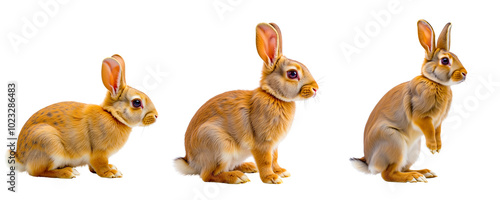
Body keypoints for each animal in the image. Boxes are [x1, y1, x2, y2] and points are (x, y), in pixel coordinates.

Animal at [9, 54, 158, 178]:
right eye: (137, 102)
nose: (156, 116)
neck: (113, 116)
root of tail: (20, 158)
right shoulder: (99, 153)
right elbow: (100, 165)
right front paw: (111, 173)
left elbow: (93, 167)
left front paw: (112, 168)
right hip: (48, 143)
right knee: (37, 172)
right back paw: (68, 172)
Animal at [174, 22, 318, 184]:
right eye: (292, 74)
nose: (316, 89)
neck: (273, 96)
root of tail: (191, 162)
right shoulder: (263, 143)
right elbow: (266, 161)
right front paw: (271, 178)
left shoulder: (274, 146)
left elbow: (274, 159)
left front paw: (281, 172)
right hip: (219, 146)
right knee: (208, 175)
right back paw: (237, 177)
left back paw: (248, 167)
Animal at [350, 20, 466, 183]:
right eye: (445, 60)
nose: (465, 73)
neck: (434, 82)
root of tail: (370, 163)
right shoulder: (422, 116)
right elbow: (429, 130)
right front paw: (432, 148)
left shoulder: (438, 122)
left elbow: (437, 132)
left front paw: (438, 148)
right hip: (394, 142)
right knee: (388, 174)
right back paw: (414, 177)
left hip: (413, 151)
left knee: (402, 168)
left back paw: (424, 173)